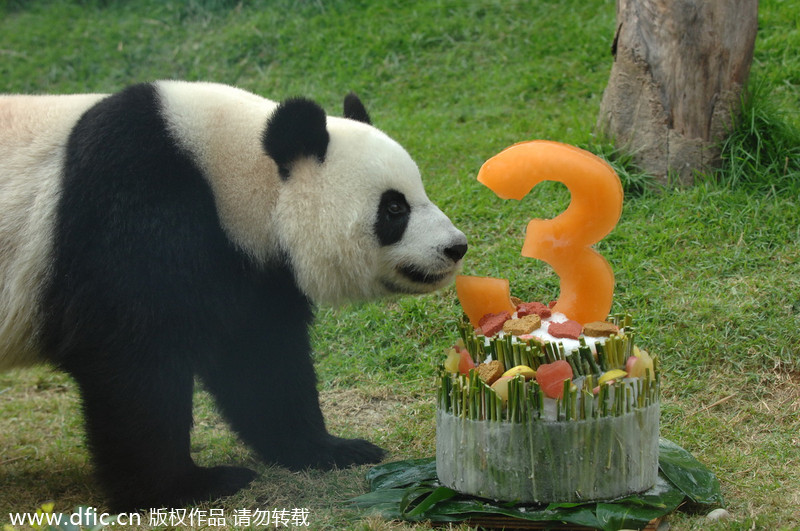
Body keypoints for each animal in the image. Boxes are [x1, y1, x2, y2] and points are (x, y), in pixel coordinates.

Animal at [0, 81, 467, 511]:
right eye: (394, 208)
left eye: (419, 191)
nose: (455, 247)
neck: (226, 171)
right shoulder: (131, 209)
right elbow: (131, 358)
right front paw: (183, 487)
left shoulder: (246, 266)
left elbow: (259, 359)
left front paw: (330, 448)